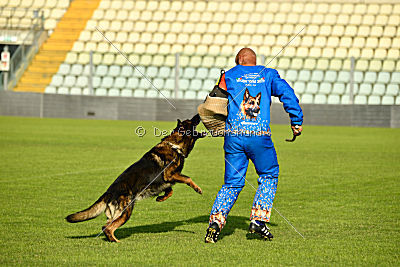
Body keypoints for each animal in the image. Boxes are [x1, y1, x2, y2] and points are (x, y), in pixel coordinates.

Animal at [67, 115, 205, 243]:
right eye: (191, 121)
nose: (198, 115)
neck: (175, 145)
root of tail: (109, 192)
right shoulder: (169, 174)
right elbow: (187, 178)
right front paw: (197, 188)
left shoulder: (166, 181)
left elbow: (170, 190)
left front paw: (161, 198)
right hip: (126, 212)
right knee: (108, 228)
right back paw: (116, 241)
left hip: (117, 214)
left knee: (105, 226)